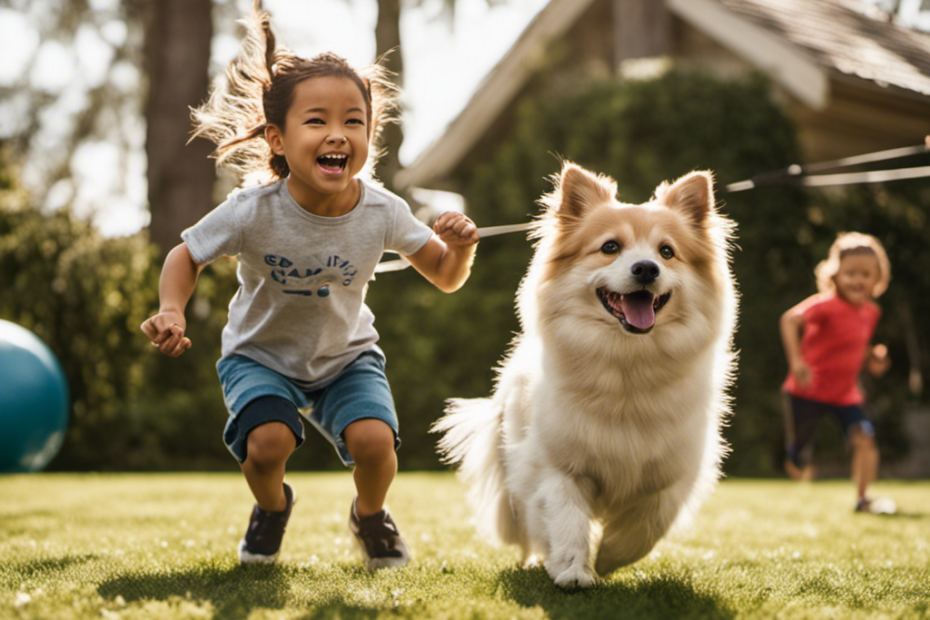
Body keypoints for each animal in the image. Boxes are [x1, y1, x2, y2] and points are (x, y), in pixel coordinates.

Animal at [432, 160, 736, 588]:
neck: (626, 364)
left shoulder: (674, 471)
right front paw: (574, 569)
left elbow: (650, 519)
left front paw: (609, 556)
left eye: (666, 252)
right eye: (610, 247)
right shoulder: (558, 467)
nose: (646, 268)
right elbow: (566, 518)